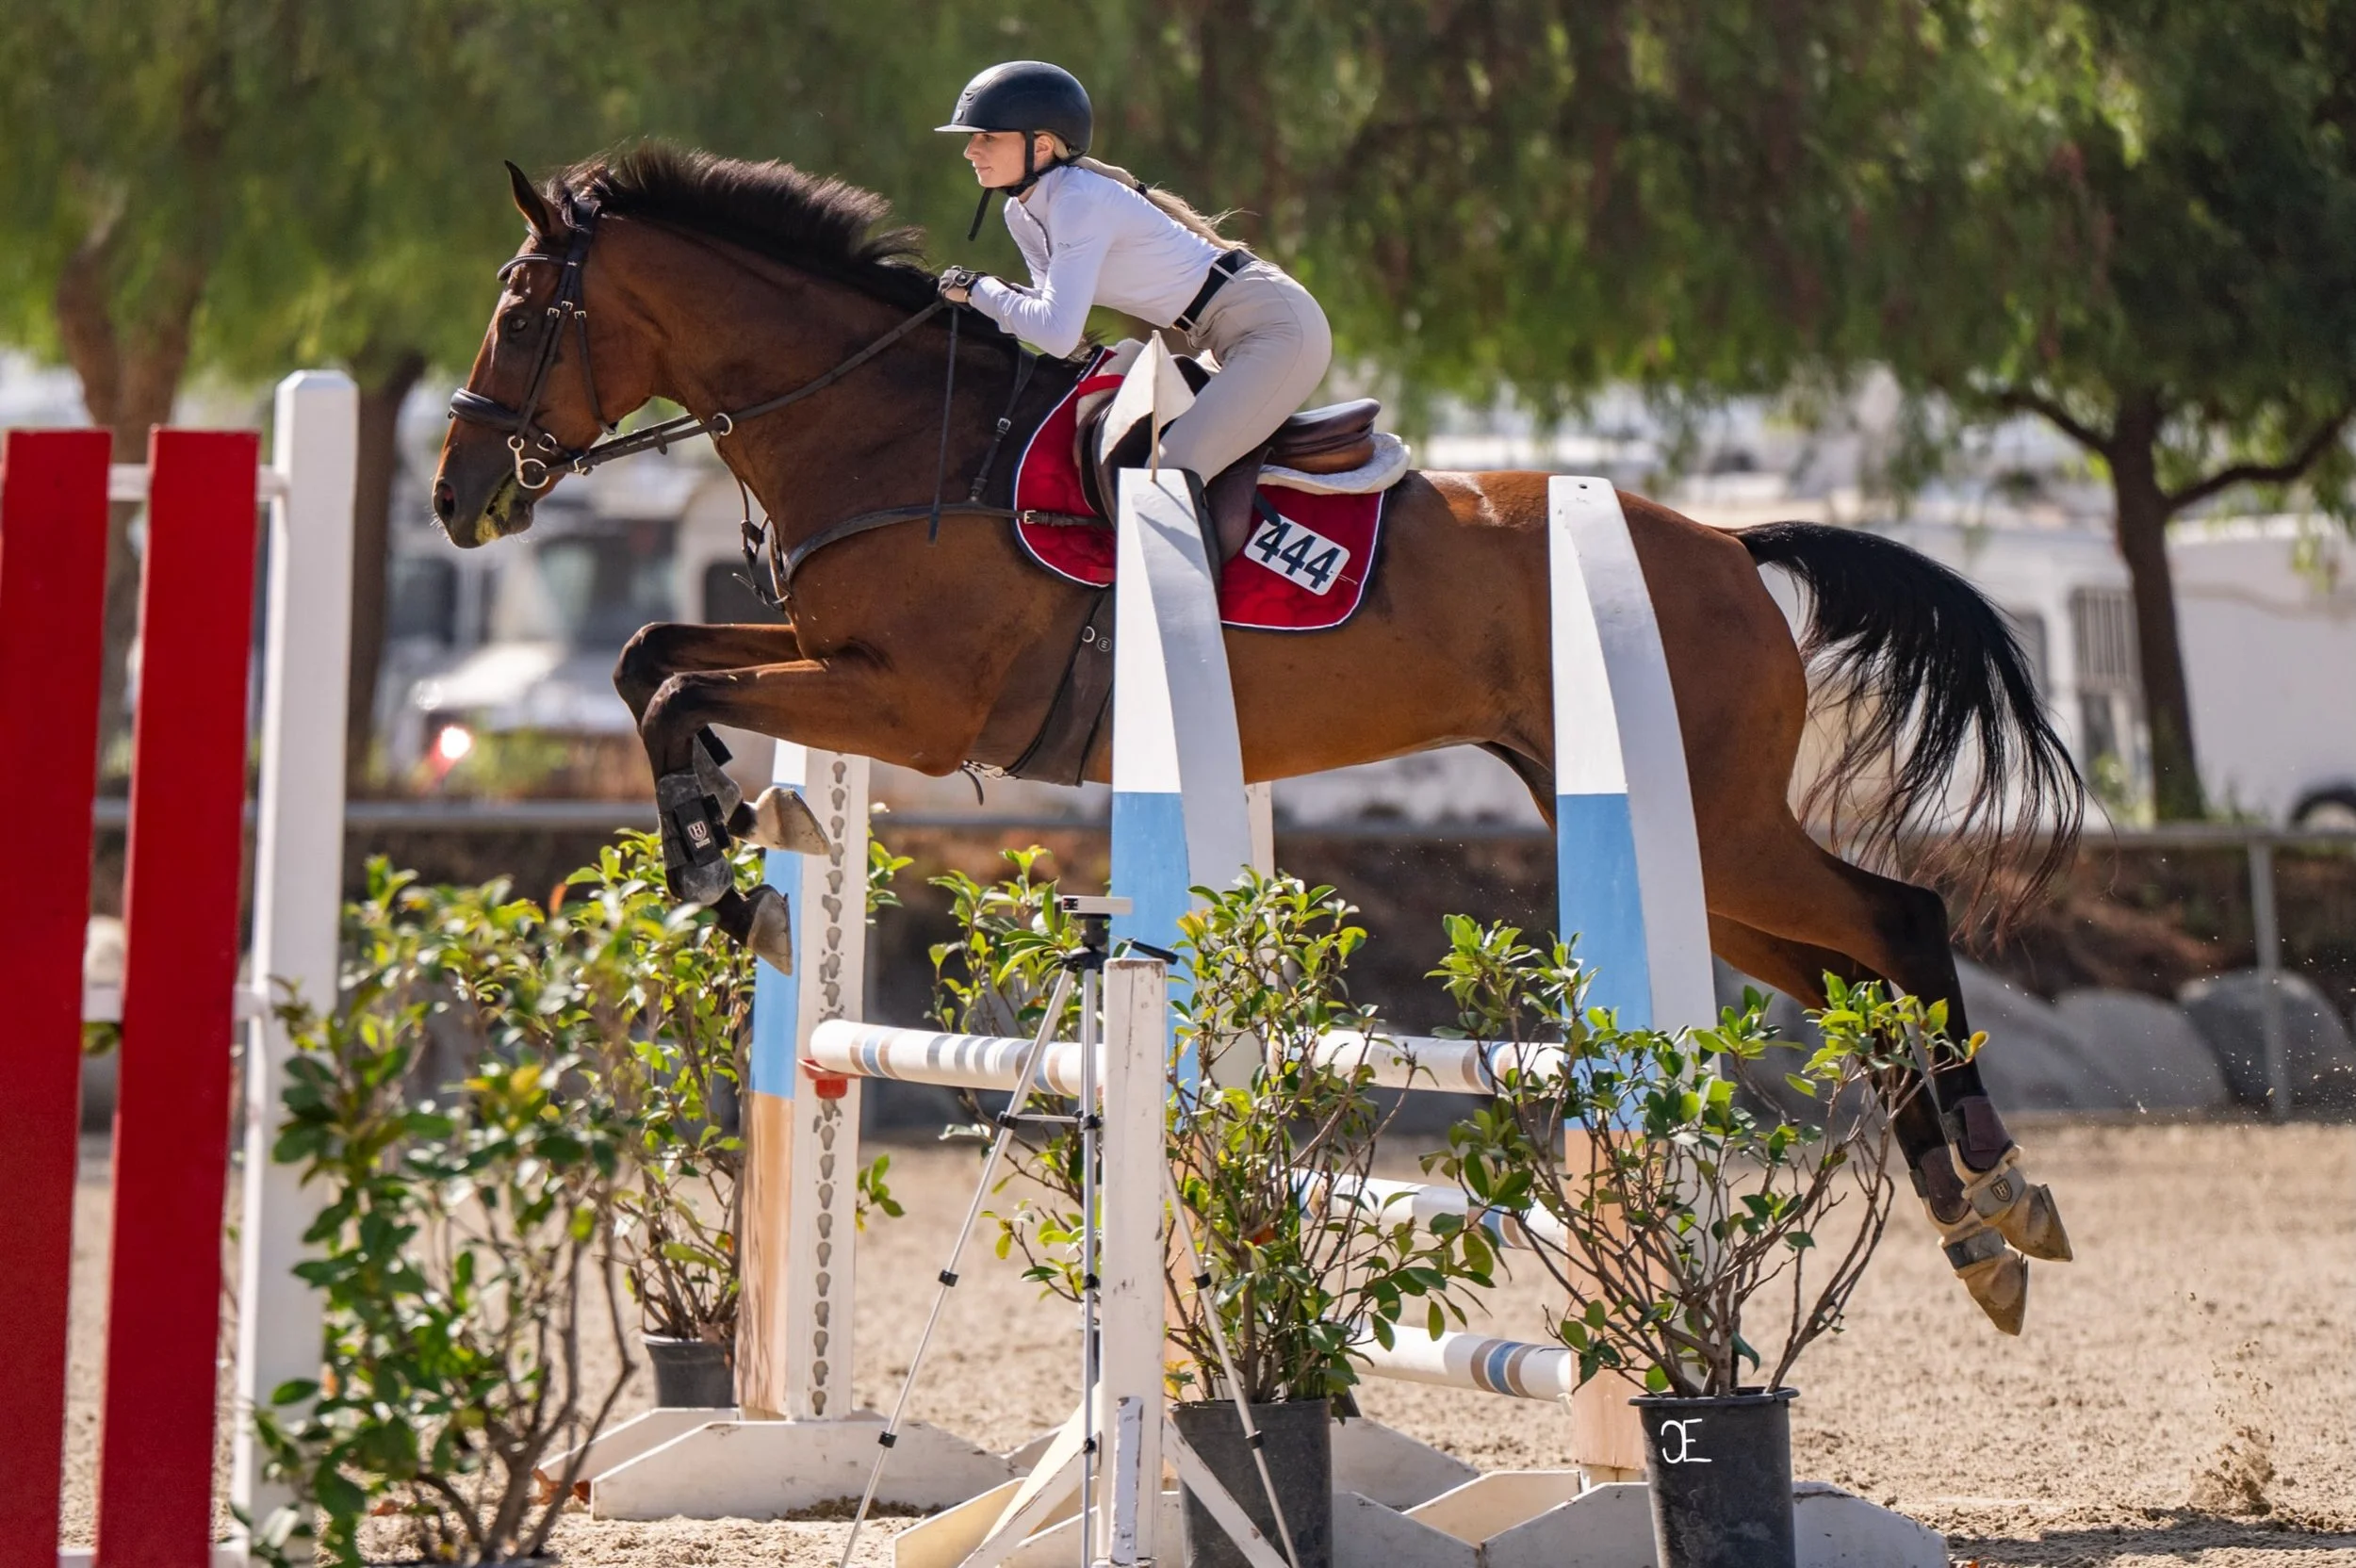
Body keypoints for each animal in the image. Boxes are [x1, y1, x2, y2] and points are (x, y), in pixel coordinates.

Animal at [432, 146, 2085, 1332]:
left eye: (519, 312)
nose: (457, 500)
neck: (895, 434)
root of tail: (1733, 545)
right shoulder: (839, 667)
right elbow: (655, 660)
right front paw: (719, 840)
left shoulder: (910, 702)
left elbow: (668, 683)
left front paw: (716, 862)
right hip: (1674, 837)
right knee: (1858, 979)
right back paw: (1976, 1234)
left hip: (1720, 819)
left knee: (1903, 919)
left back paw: (2002, 1187)